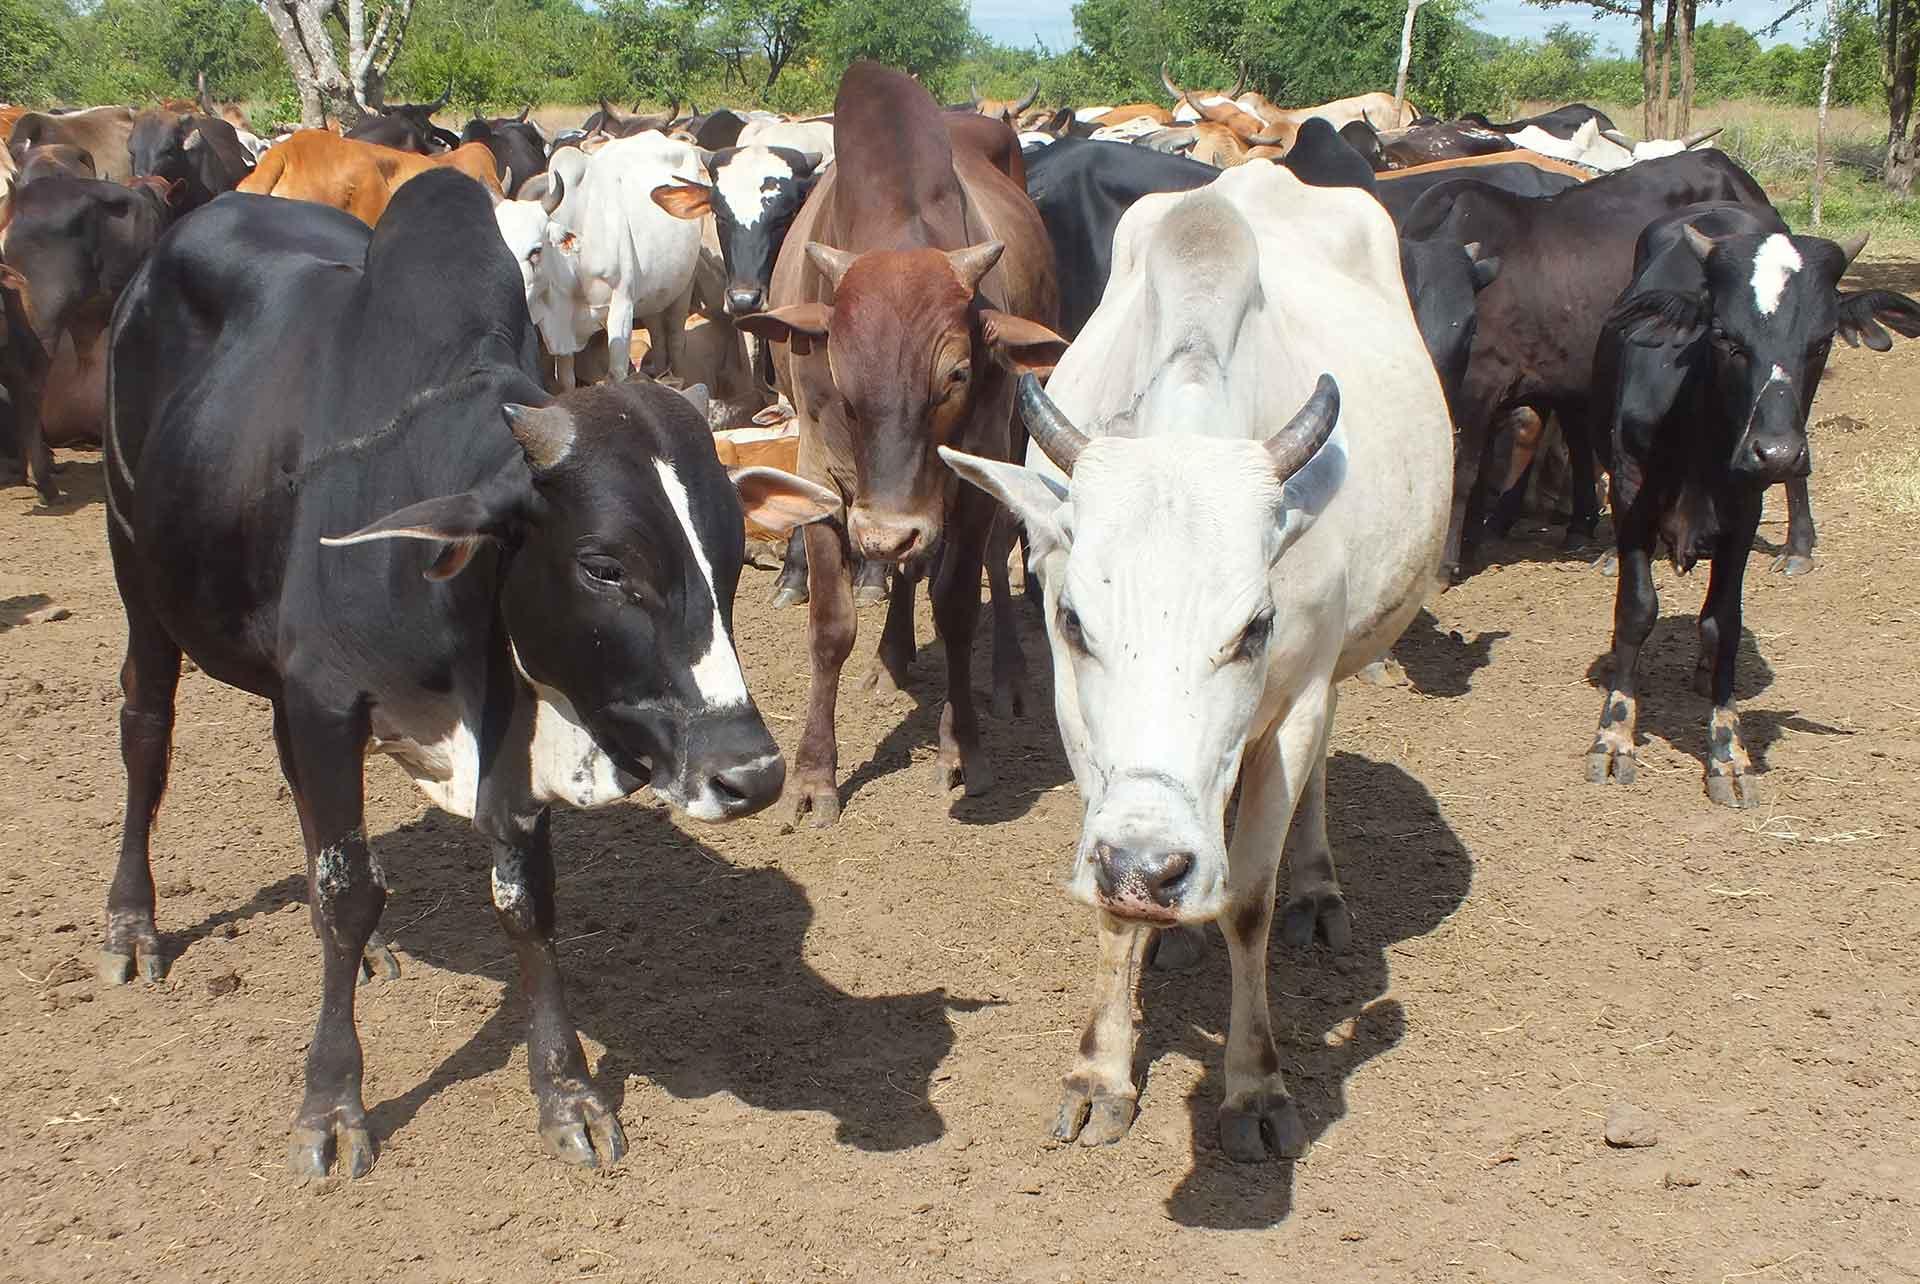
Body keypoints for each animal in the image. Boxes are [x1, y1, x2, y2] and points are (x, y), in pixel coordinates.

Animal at [97, 172, 833, 1182]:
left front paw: (566, 1092)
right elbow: (345, 892)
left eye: (729, 556)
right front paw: (332, 1104)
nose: (750, 775)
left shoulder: (492, 735)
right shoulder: (324, 696)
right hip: (138, 575)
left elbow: (524, 904)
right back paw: (132, 924)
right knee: (147, 734)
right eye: (605, 566)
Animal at [733, 62, 1067, 821]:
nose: (884, 533)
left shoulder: (972, 470)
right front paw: (815, 778)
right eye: (842, 375)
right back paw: (890, 661)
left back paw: (1007, 677)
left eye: (957, 374)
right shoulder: (825, 477)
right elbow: (832, 626)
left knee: (998, 553)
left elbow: (958, 604)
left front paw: (963, 750)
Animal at [936, 163, 1443, 1159]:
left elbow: (1247, 898)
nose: (1151, 866)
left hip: (1330, 676)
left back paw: (1312, 887)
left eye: (1253, 626)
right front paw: (1101, 1072)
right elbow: (1108, 915)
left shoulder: (1297, 694)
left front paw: (1254, 1086)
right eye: (1073, 620)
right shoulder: (1080, 729)